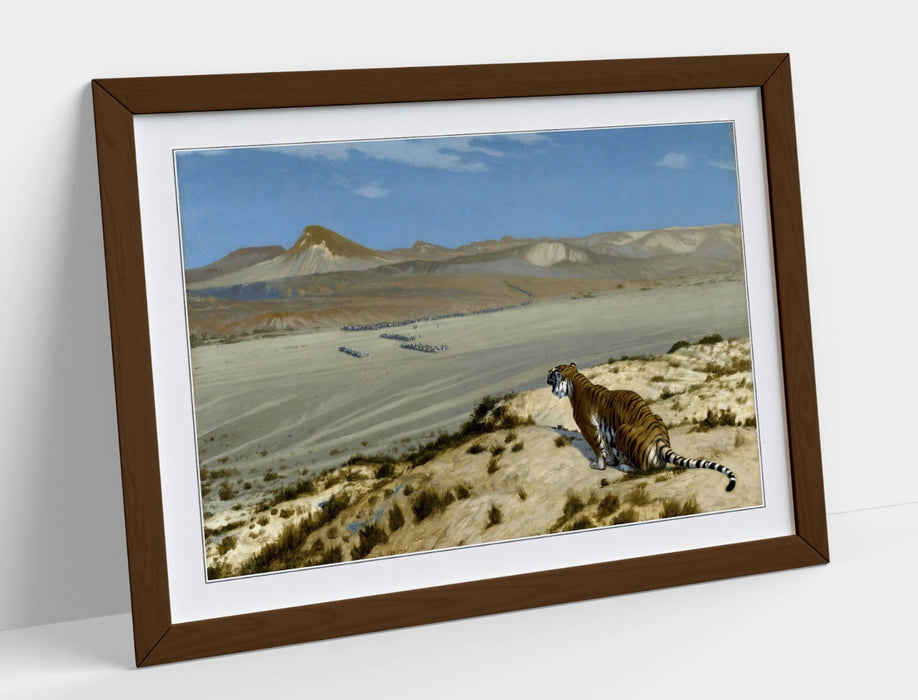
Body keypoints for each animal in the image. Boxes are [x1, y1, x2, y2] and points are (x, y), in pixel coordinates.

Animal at [547, 362, 736, 492]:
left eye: (553, 372)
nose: (546, 374)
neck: (574, 382)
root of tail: (659, 438)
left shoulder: (588, 427)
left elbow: (597, 447)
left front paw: (599, 465)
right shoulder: (602, 428)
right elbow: (606, 447)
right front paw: (611, 461)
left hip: (622, 430)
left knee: (644, 470)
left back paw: (625, 466)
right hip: (655, 419)